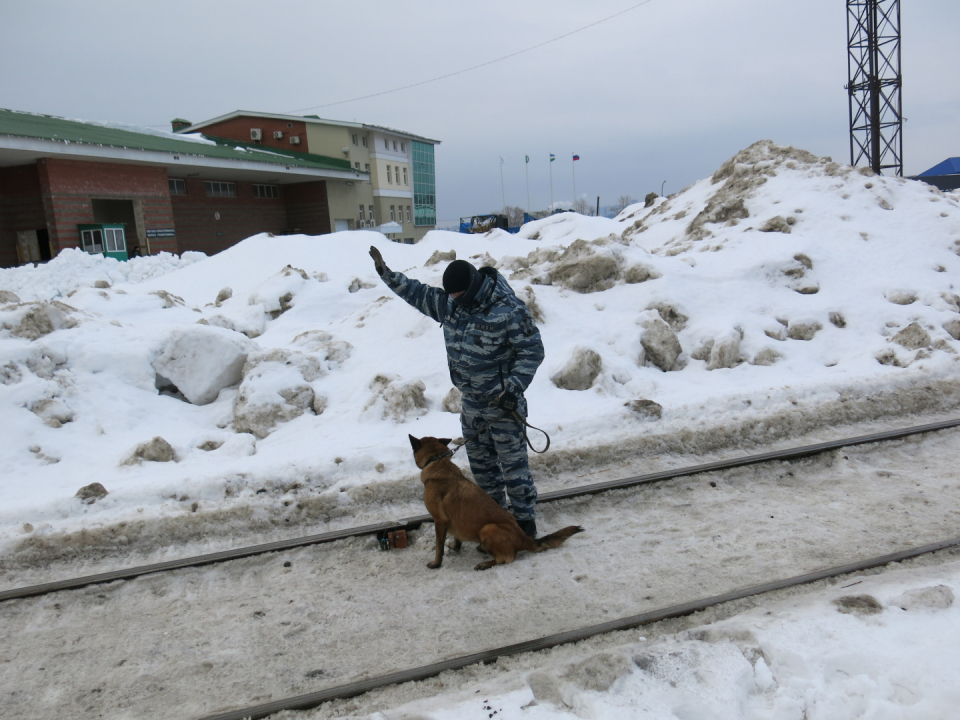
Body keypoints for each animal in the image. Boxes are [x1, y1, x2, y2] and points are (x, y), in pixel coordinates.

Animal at [406, 436, 580, 572]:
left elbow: (439, 546)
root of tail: (523, 538)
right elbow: (456, 537)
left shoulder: (439, 521)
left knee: (507, 558)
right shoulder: (452, 520)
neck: (438, 463)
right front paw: (455, 547)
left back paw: (485, 564)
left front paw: (436, 563)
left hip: (488, 528)